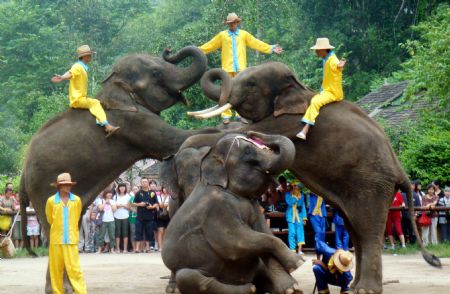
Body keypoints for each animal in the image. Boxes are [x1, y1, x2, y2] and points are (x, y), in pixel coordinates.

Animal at [20, 45, 222, 292]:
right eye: (155, 72)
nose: (168, 49)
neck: (113, 86)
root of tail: (23, 172)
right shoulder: (132, 121)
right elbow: (176, 139)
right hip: (44, 188)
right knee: (54, 231)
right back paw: (62, 290)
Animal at [160, 131, 304, 294]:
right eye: (248, 152)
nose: (252, 133)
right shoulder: (216, 209)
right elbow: (235, 242)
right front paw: (298, 262)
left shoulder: (254, 207)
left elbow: (264, 233)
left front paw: (292, 289)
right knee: (190, 278)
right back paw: (249, 289)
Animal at [186, 63, 440, 292]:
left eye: (251, 84)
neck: (299, 87)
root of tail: (401, 171)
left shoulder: (288, 121)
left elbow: (230, 133)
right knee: (355, 229)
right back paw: (353, 285)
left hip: (373, 184)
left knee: (368, 231)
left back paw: (364, 290)